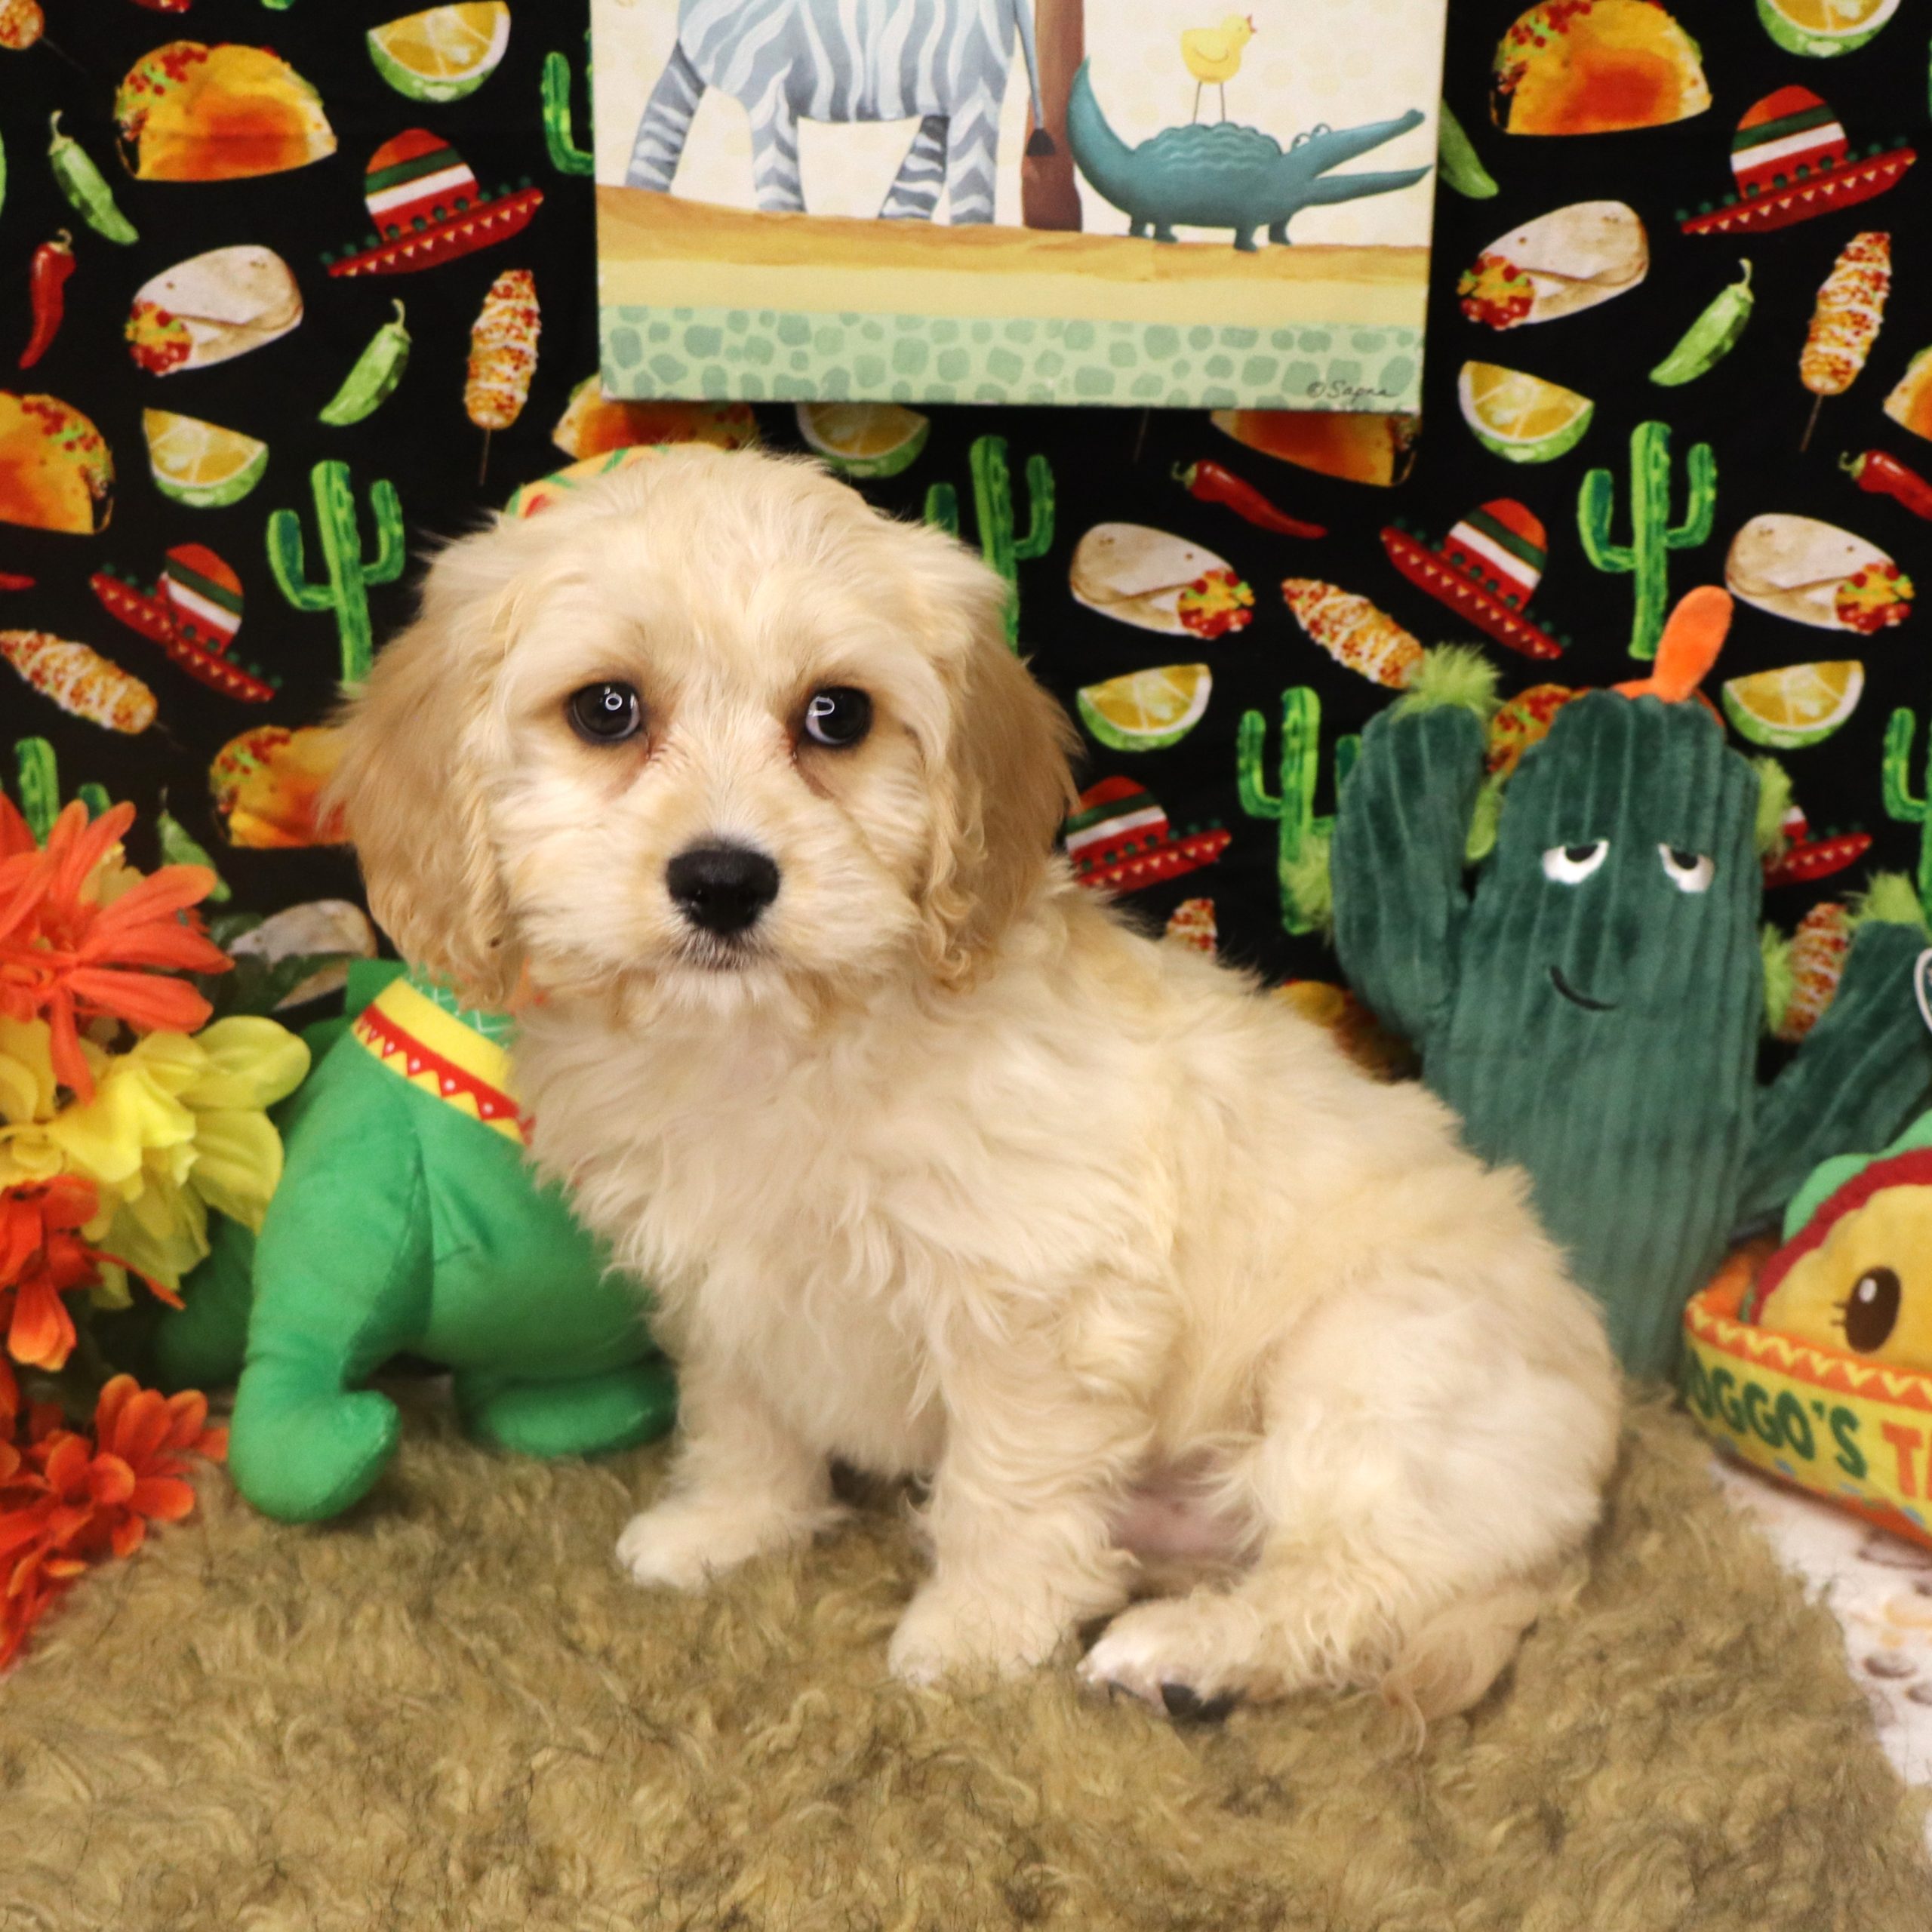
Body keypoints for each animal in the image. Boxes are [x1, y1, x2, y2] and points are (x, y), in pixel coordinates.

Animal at [331, 446, 1620, 1721]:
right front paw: (729, 1526)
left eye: (837, 715)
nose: (724, 881)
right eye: (608, 709)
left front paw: (976, 1634)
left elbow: (1005, 1482)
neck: (778, 1040)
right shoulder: (722, 1289)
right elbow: (743, 1412)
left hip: (1374, 1374)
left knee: (1355, 1583)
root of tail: (1589, 1468)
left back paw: (1181, 1652)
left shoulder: (1041, 1304)